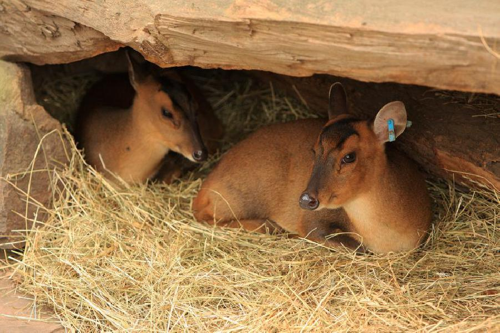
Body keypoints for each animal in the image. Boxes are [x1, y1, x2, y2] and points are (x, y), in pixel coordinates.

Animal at [193, 82, 432, 252]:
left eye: (349, 156)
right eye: (314, 149)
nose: (306, 199)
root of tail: (206, 186)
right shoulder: (313, 221)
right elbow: (355, 248)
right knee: (203, 215)